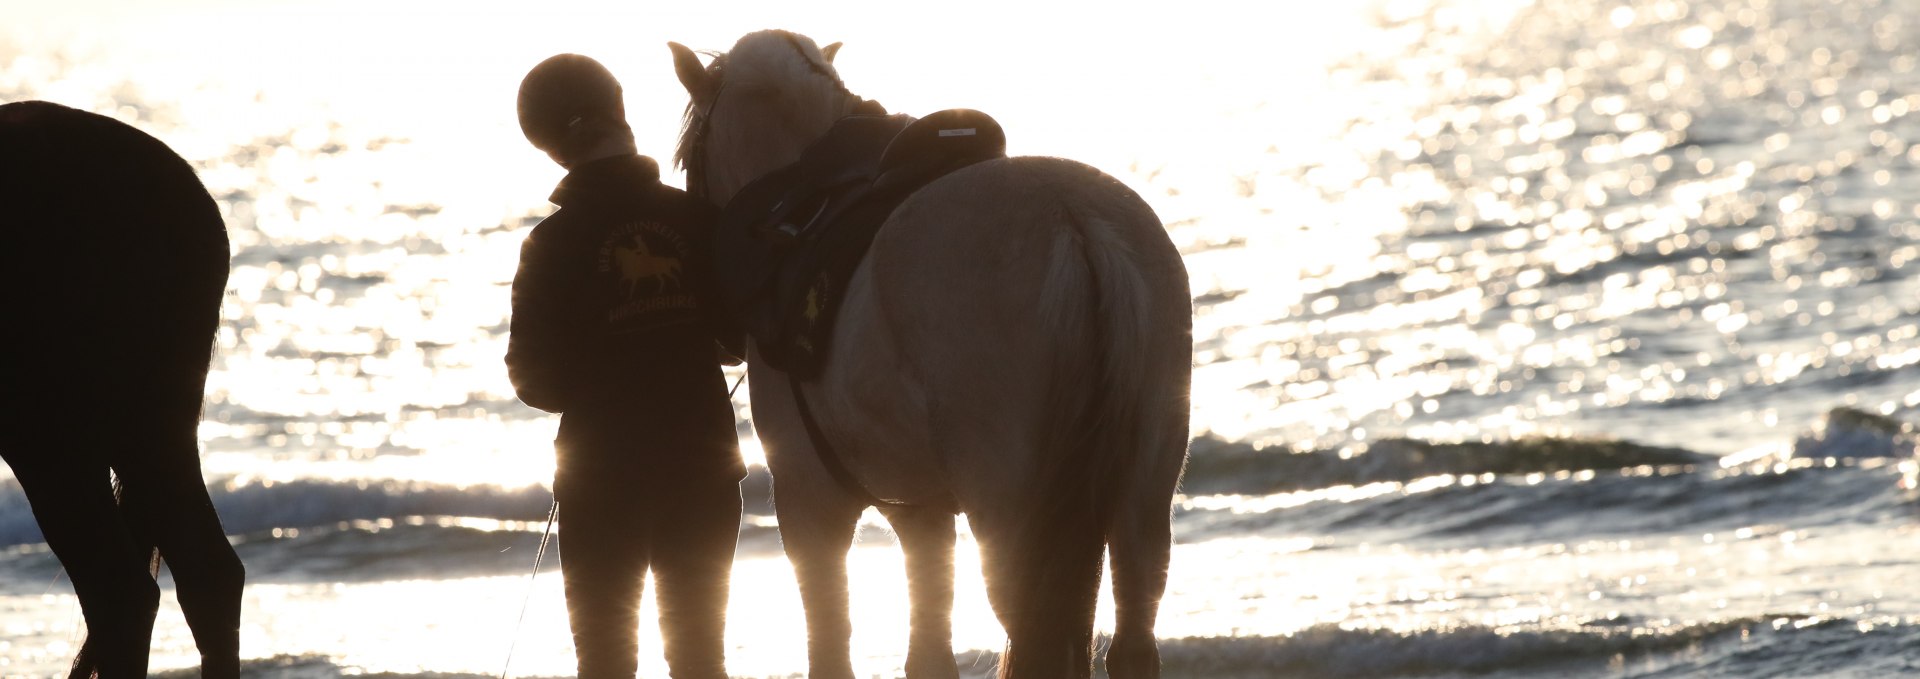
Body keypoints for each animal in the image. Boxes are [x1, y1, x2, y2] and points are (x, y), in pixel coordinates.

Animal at [668, 31, 1190, 679]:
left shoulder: (809, 499)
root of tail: (1075, 223)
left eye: (689, 158)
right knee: (1132, 643)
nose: (721, 338)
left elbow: (831, 645)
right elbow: (929, 649)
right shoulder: (921, 512)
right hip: (1144, 498)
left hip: (1014, 515)